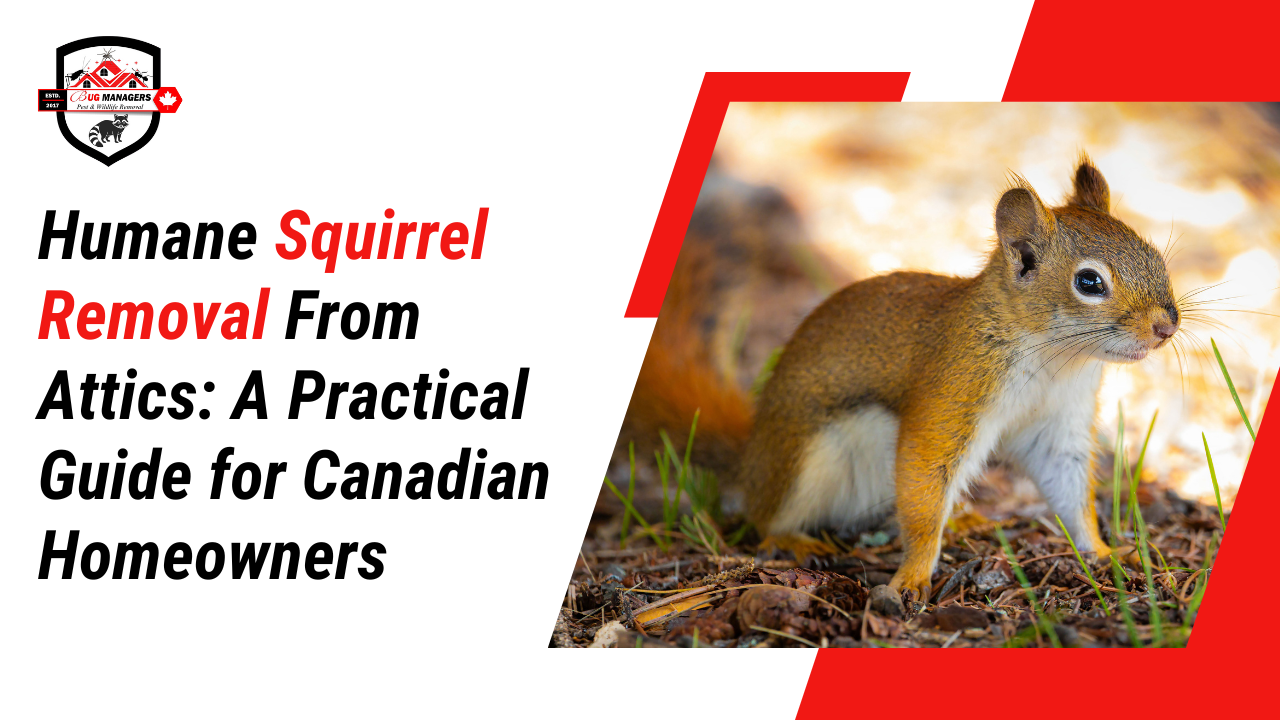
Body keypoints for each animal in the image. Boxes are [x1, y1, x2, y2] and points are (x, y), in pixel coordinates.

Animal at [623, 157, 1179, 603]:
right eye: (1089, 282)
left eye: (1154, 253)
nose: (1167, 326)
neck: (1055, 358)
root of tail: (751, 456)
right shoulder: (952, 389)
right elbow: (923, 481)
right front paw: (912, 577)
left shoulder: (1059, 421)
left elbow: (1070, 493)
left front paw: (1105, 551)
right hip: (806, 459)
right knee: (763, 516)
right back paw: (791, 539)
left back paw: (963, 519)